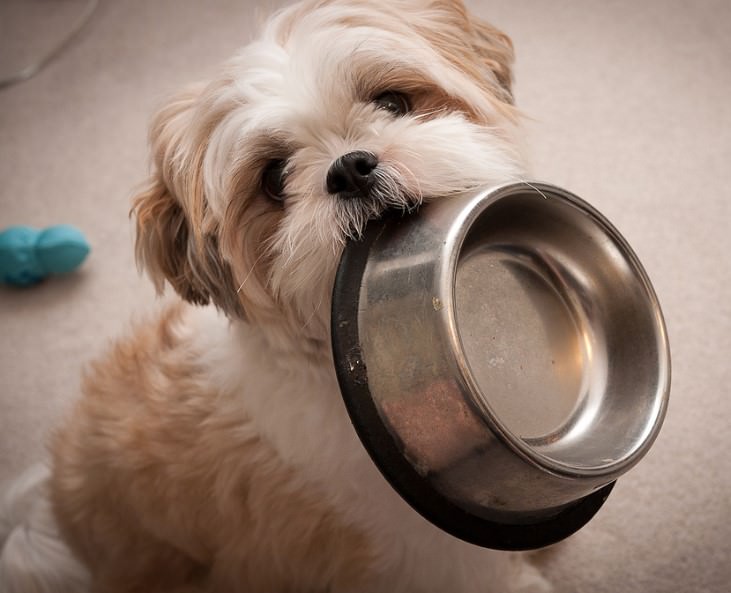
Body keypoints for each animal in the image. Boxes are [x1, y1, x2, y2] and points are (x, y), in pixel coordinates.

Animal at [0, 1, 548, 592]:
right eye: (273, 178)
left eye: (393, 103)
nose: (349, 168)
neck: (335, 360)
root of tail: (52, 517)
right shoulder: (427, 550)